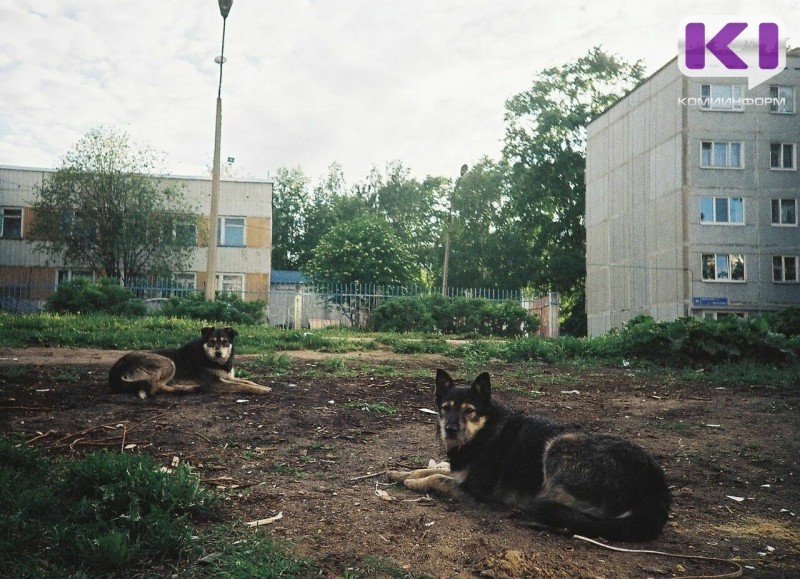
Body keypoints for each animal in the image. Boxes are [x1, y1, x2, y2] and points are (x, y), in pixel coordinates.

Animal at [106, 326, 272, 398]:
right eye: (212, 342)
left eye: (225, 342)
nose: (218, 353)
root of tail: (117, 368)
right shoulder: (214, 383)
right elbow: (242, 386)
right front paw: (261, 390)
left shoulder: (228, 377)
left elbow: (247, 381)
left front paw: (262, 386)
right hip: (167, 362)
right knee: (155, 386)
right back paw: (186, 388)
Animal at [388, 372, 668, 544]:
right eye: (446, 409)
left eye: (469, 411)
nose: (451, 430)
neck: (485, 430)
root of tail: (658, 491)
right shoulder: (460, 472)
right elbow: (429, 470)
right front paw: (399, 473)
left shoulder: (474, 489)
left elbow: (437, 477)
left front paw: (414, 483)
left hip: (559, 445)